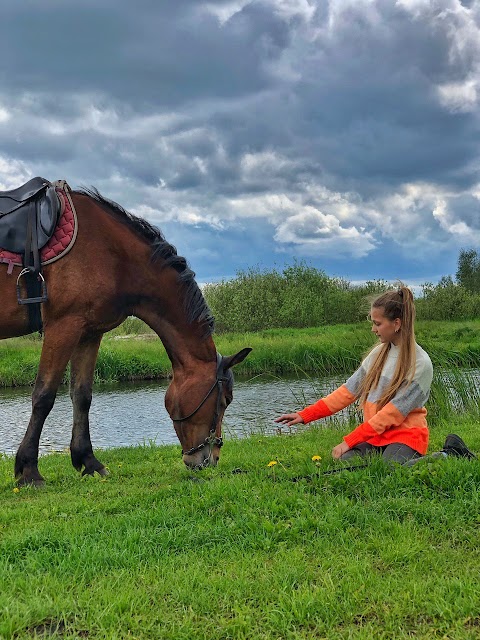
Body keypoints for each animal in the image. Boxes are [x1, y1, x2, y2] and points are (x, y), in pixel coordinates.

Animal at [0, 181, 253, 484]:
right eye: (225, 400)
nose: (210, 459)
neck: (112, 252)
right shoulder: (63, 326)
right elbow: (44, 396)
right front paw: (29, 469)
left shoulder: (88, 332)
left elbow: (82, 396)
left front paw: (89, 461)